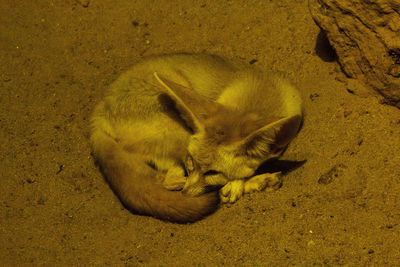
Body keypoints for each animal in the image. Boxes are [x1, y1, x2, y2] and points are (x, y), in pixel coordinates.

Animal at [90, 52, 302, 224]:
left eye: (212, 172)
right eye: (191, 162)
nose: (185, 194)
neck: (259, 97)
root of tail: (99, 112)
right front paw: (238, 184)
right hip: (179, 126)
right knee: (168, 182)